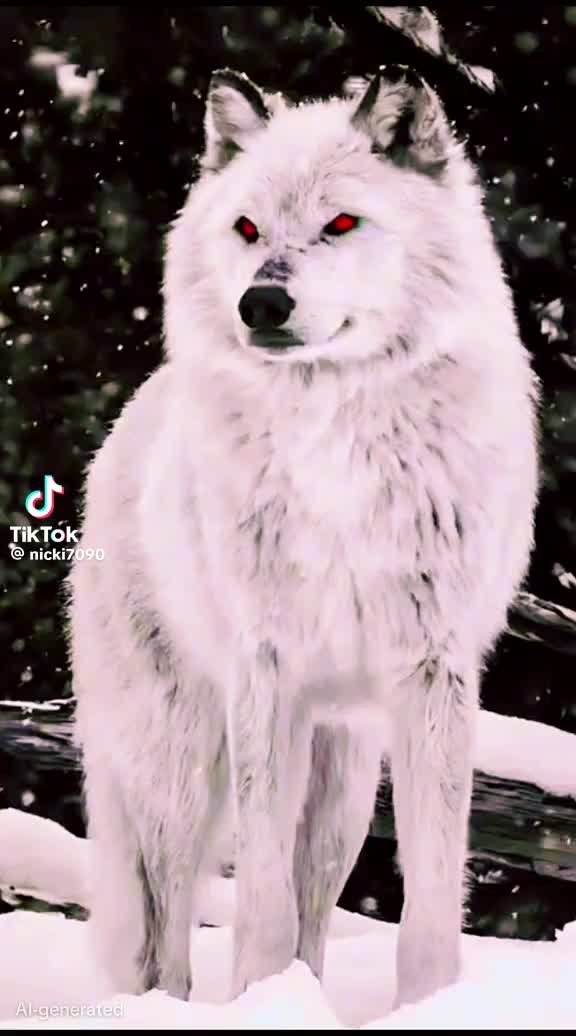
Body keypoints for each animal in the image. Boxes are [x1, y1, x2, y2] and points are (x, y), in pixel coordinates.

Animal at [68, 66, 539, 1009]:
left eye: (341, 224)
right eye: (247, 229)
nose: (263, 302)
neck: (337, 443)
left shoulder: (433, 677)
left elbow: (430, 899)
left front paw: (428, 1006)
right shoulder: (266, 674)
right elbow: (259, 900)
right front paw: (260, 998)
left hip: (346, 780)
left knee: (315, 892)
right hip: (180, 760)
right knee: (166, 919)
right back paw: (171, 1006)